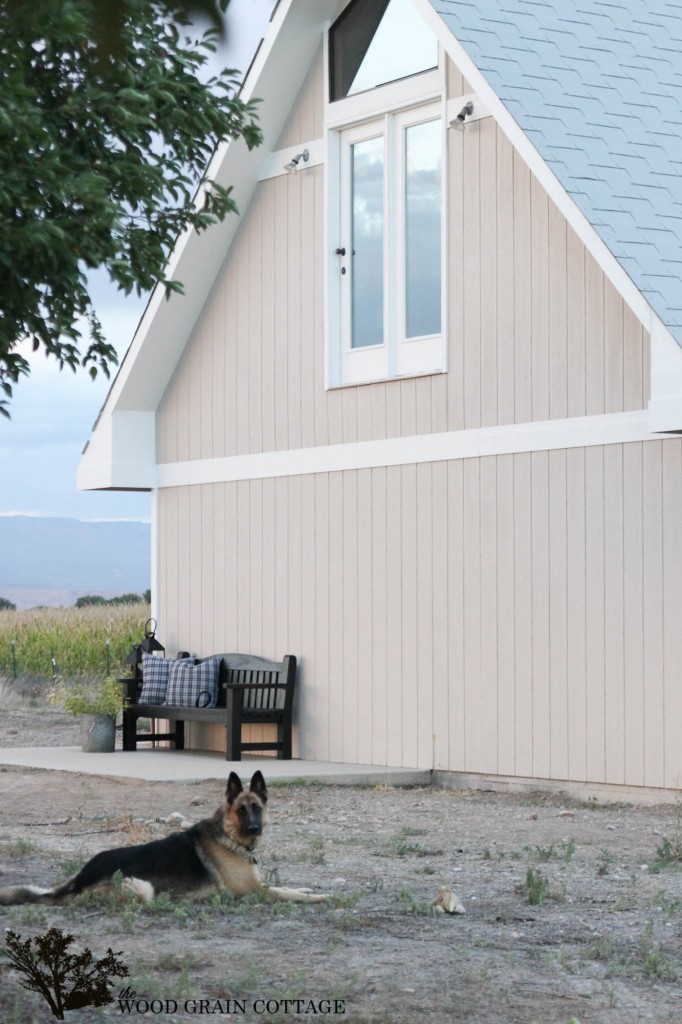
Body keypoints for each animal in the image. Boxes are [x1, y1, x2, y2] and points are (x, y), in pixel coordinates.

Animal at [0, 770, 327, 909]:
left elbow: (289, 887)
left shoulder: (260, 885)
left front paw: (309, 888)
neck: (228, 836)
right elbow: (287, 893)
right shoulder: (254, 892)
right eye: (241, 811)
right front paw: (319, 897)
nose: (255, 829)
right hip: (143, 889)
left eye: (257, 808)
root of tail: (80, 880)